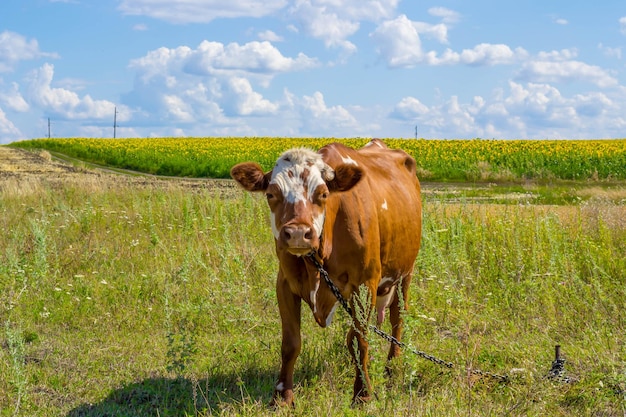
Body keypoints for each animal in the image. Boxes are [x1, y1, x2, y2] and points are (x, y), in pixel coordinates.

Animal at [232, 138, 422, 404]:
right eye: (271, 194)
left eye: (322, 194)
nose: (298, 233)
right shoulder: (285, 283)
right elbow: (290, 343)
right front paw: (282, 397)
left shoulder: (365, 284)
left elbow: (358, 339)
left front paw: (362, 393)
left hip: (405, 273)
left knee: (398, 319)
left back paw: (392, 368)